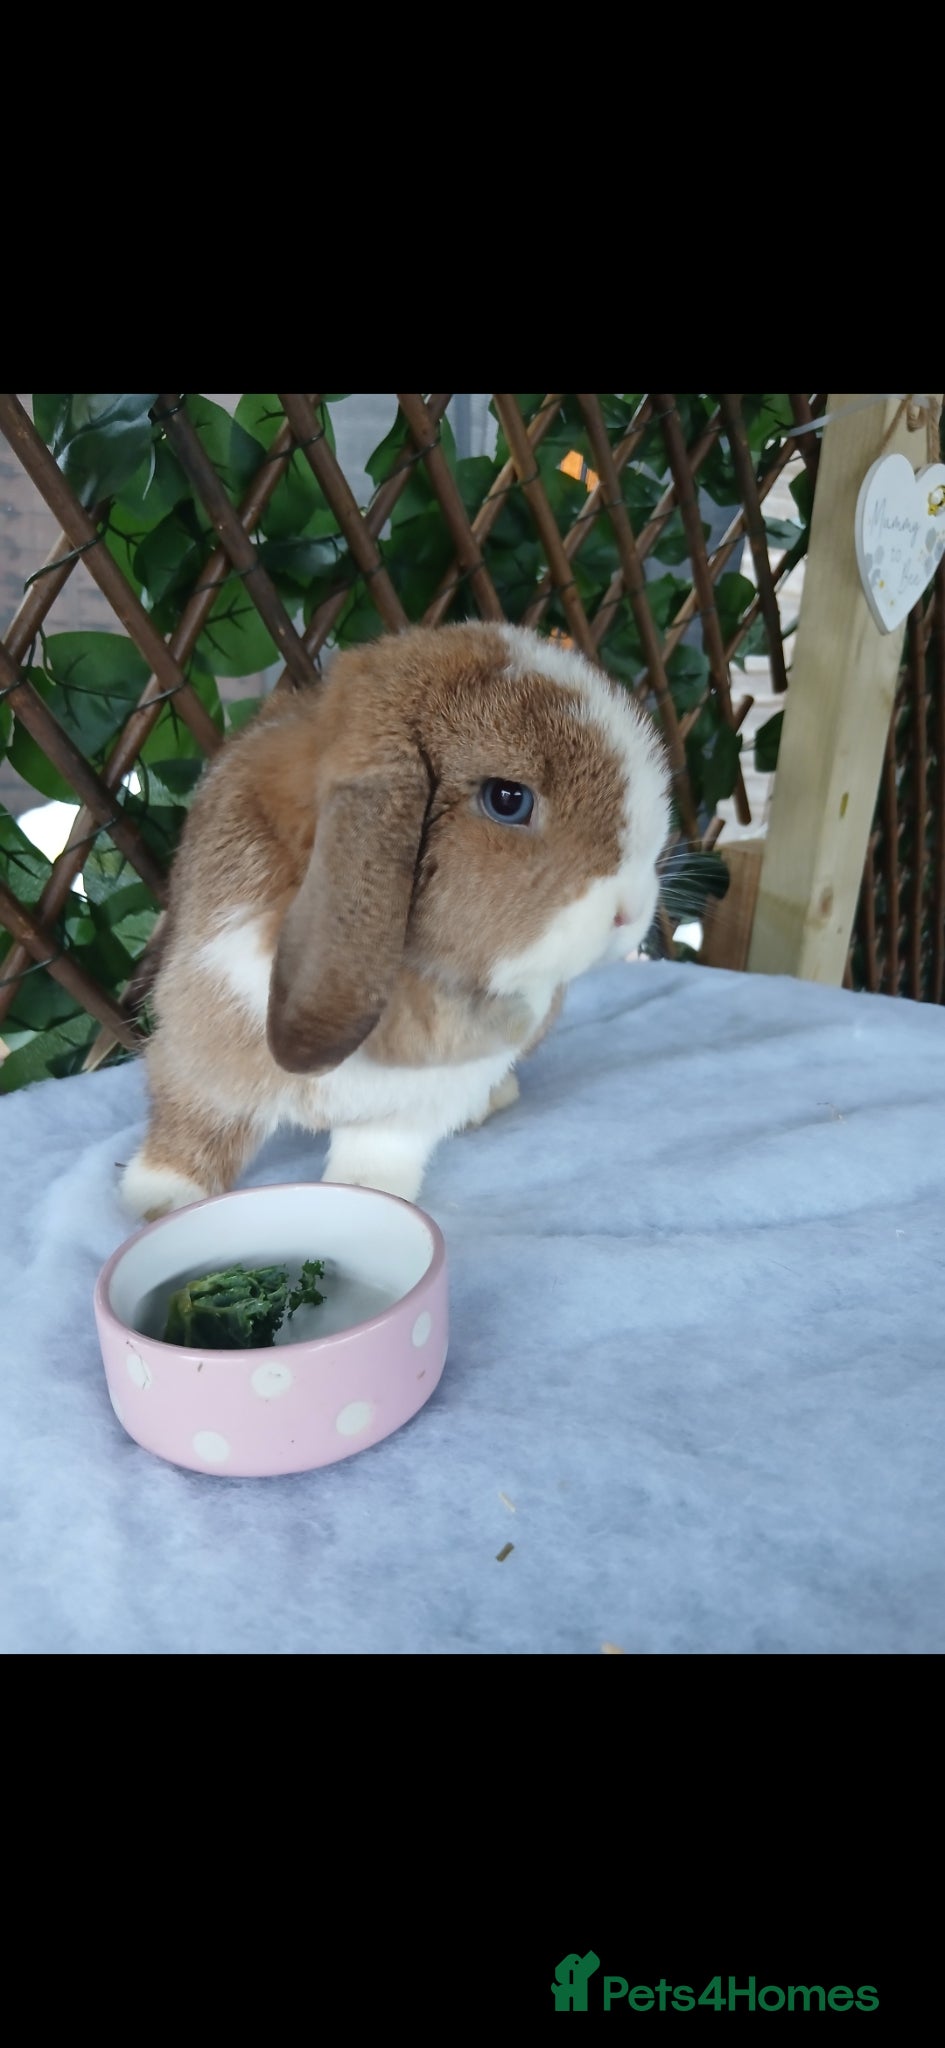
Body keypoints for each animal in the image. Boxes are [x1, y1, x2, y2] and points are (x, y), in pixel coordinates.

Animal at [120, 620, 671, 1220]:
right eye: (507, 799)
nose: (630, 911)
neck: (409, 977)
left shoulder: (420, 1101)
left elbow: (379, 1151)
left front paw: (364, 1200)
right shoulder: (202, 1048)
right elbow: (194, 1125)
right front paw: (157, 1202)